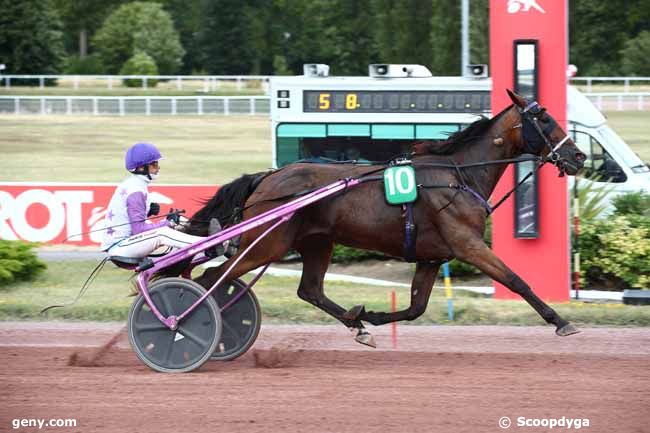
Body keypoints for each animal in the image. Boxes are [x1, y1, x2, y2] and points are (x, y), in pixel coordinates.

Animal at [185, 89, 584, 346]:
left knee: (309, 290)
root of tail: (267, 178)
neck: (458, 175)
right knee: (212, 278)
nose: (578, 157)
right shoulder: (467, 245)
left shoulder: (432, 256)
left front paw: (370, 316)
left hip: (317, 242)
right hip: (266, 244)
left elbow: (415, 308)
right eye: (544, 118)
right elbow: (517, 281)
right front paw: (562, 322)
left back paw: (357, 326)